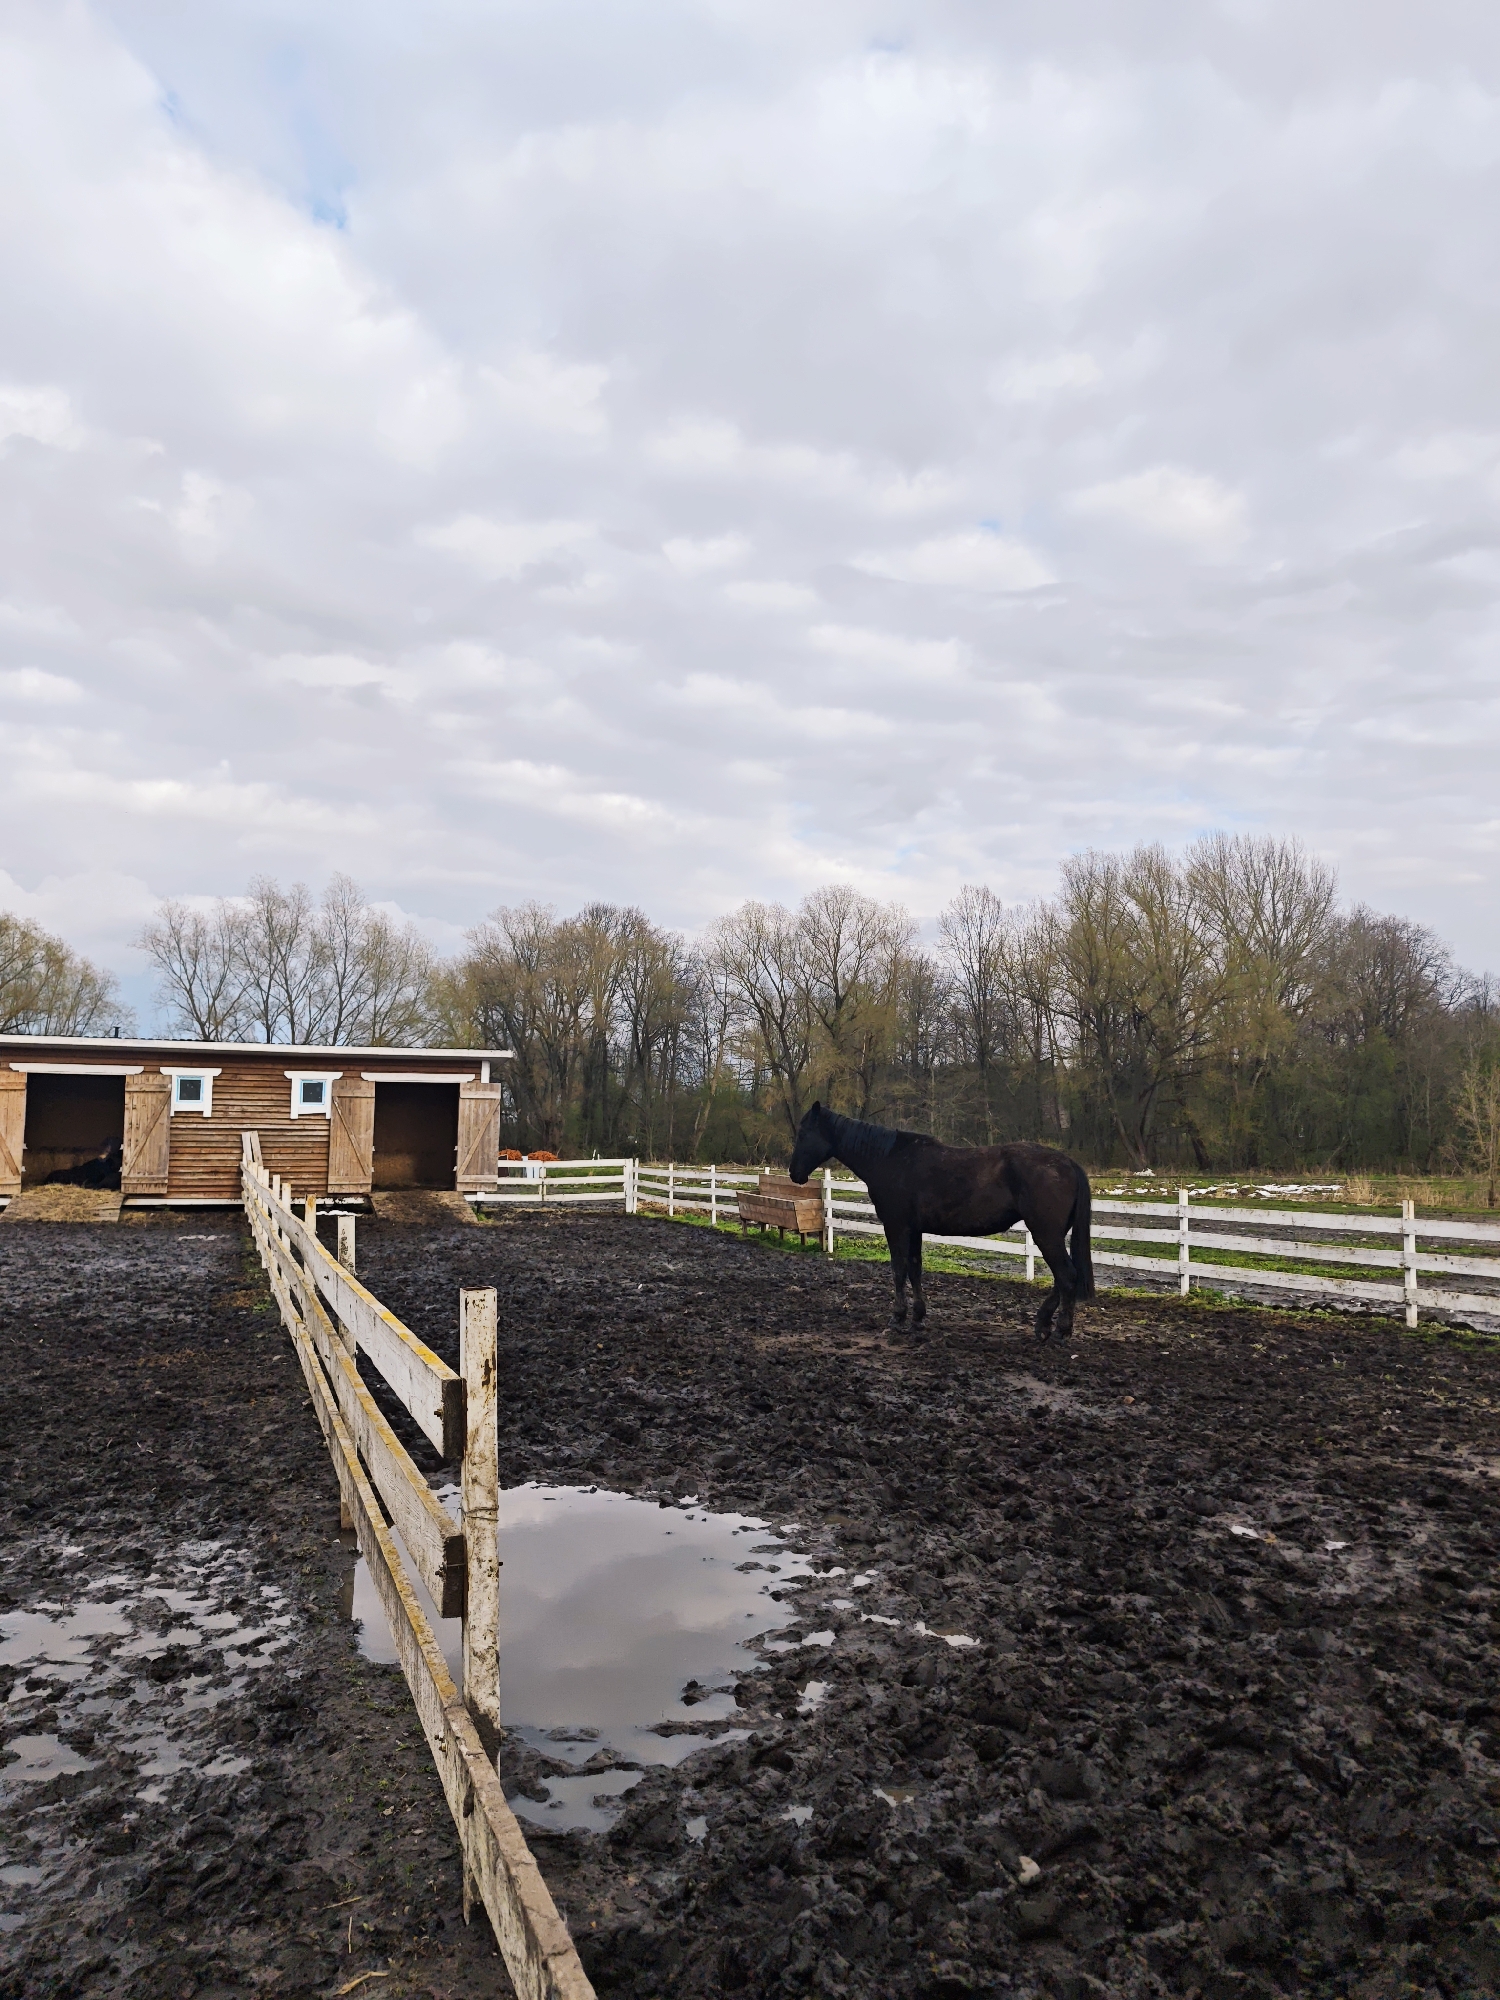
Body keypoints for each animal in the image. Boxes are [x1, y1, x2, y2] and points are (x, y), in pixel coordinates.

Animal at [787, 1103, 1095, 1341]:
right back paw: (1043, 1324)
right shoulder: (914, 1230)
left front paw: (897, 1318)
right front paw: (917, 1318)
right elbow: (915, 1269)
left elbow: (898, 1270)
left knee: (1067, 1276)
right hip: (1051, 1235)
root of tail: (1068, 1164)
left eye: (803, 1133)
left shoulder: (896, 1227)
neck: (889, 1160)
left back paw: (1060, 1331)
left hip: (1045, 1234)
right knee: (1062, 1278)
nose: (793, 1173)